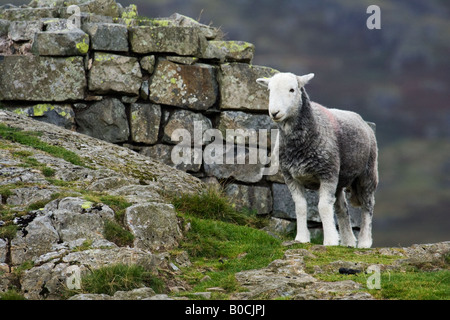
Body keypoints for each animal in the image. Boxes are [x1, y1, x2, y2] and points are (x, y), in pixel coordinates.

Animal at [256, 72, 376, 248]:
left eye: (292, 89)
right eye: (269, 90)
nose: (274, 112)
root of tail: (361, 120)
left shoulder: (327, 173)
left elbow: (323, 207)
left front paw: (330, 241)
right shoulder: (290, 176)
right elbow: (300, 207)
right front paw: (301, 238)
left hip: (367, 172)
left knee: (367, 205)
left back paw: (364, 242)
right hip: (340, 179)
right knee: (342, 208)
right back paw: (347, 241)